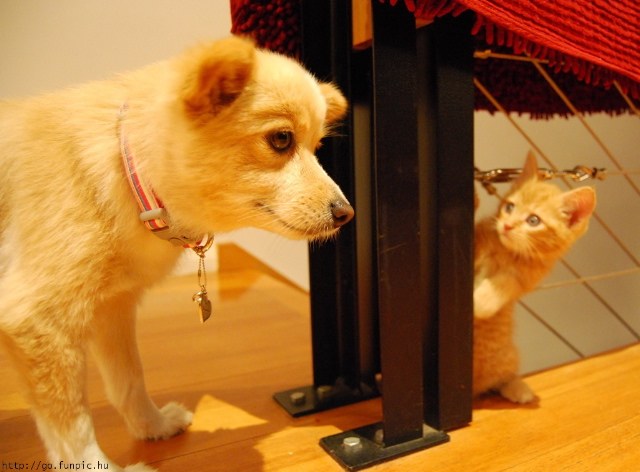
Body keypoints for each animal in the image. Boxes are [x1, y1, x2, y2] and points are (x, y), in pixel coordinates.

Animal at [0, 37, 352, 472]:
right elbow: (73, 429)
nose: (347, 213)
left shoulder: (113, 308)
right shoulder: (37, 322)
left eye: (318, 146)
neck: (127, 177)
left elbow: (129, 378)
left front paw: (152, 426)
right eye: (282, 139)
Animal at [472, 152, 596, 402]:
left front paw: (480, 303)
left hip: (508, 358)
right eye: (509, 207)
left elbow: (507, 282)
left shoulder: (526, 279)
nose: (507, 225)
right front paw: (474, 199)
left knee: (501, 379)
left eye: (533, 221)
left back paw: (520, 390)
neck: (505, 252)